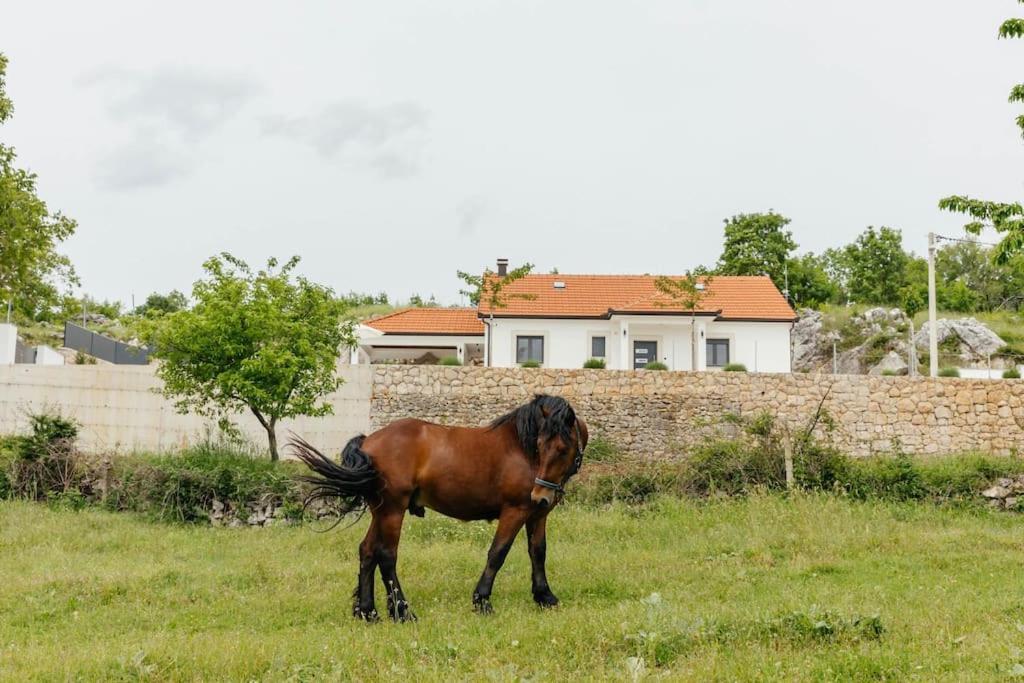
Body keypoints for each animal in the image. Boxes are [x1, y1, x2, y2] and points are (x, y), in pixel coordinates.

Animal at [292, 393, 589, 622]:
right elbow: (498, 553)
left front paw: (545, 597)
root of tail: (368, 441)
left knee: (367, 552)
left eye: (562, 449)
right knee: (386, 556)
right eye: (541, 445)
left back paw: (368, 612)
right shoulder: (515, 511)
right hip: (393, 510)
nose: (540, 493)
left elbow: (538, 552)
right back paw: (402, 612)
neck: (521, 449)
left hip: (380, 511)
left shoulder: (538, 514)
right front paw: (482, 601)